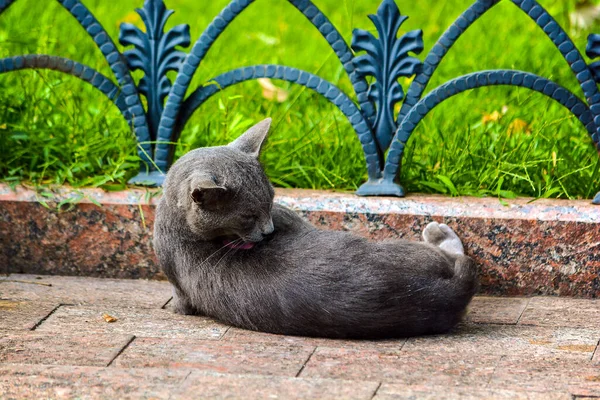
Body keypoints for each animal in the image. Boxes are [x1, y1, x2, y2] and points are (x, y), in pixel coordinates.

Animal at [155, 118, 478, 338]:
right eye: (247, 217)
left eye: (271, 198)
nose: (269, 231)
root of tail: (444, 293)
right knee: (456, 256)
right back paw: (438, 232)